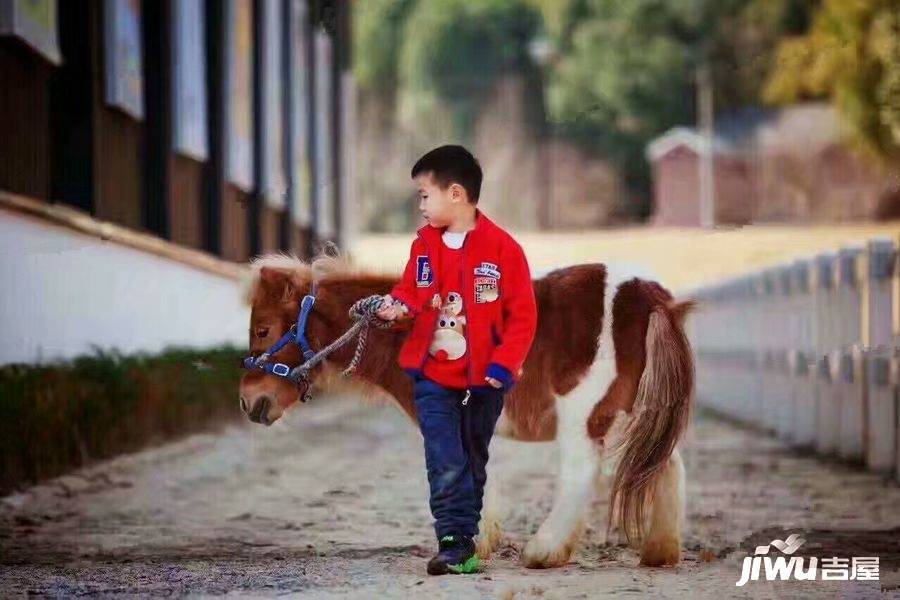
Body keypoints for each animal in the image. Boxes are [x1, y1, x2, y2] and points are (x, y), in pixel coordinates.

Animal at [237, 252, 696, 568]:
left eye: (262, 329)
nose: (248, 402)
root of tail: (647, 295)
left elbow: (458, 473)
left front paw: (462, 547)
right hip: (642, 412)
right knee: (666, 465)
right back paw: (659, 551)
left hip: (582, 416)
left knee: (582, 473)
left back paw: (544, 551)